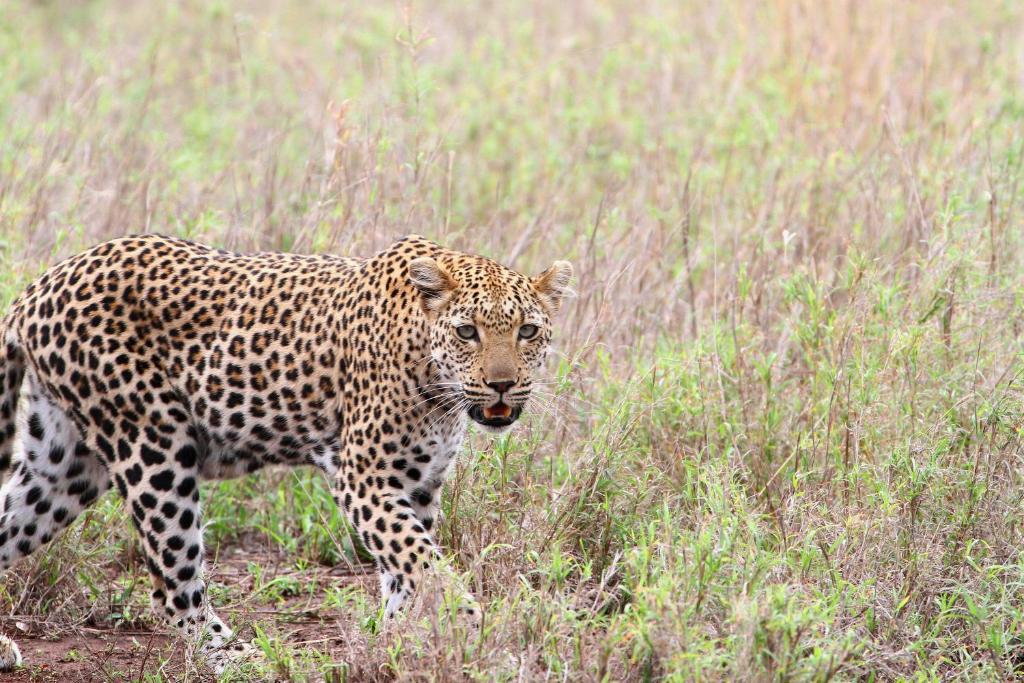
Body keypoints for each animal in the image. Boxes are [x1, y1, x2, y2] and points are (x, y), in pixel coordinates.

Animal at [0, 233, 577, 671]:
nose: (502, 385)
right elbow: (424, 562)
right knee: (172, 588)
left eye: (528, 331)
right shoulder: (364, 476)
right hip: (152, 447)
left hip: (63, 467)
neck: (437, 386)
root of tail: (40, 285)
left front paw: (399, 643)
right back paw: (236, 658)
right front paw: (472, 629)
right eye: (466, 331)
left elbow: (405, 572)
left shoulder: (418, 484)